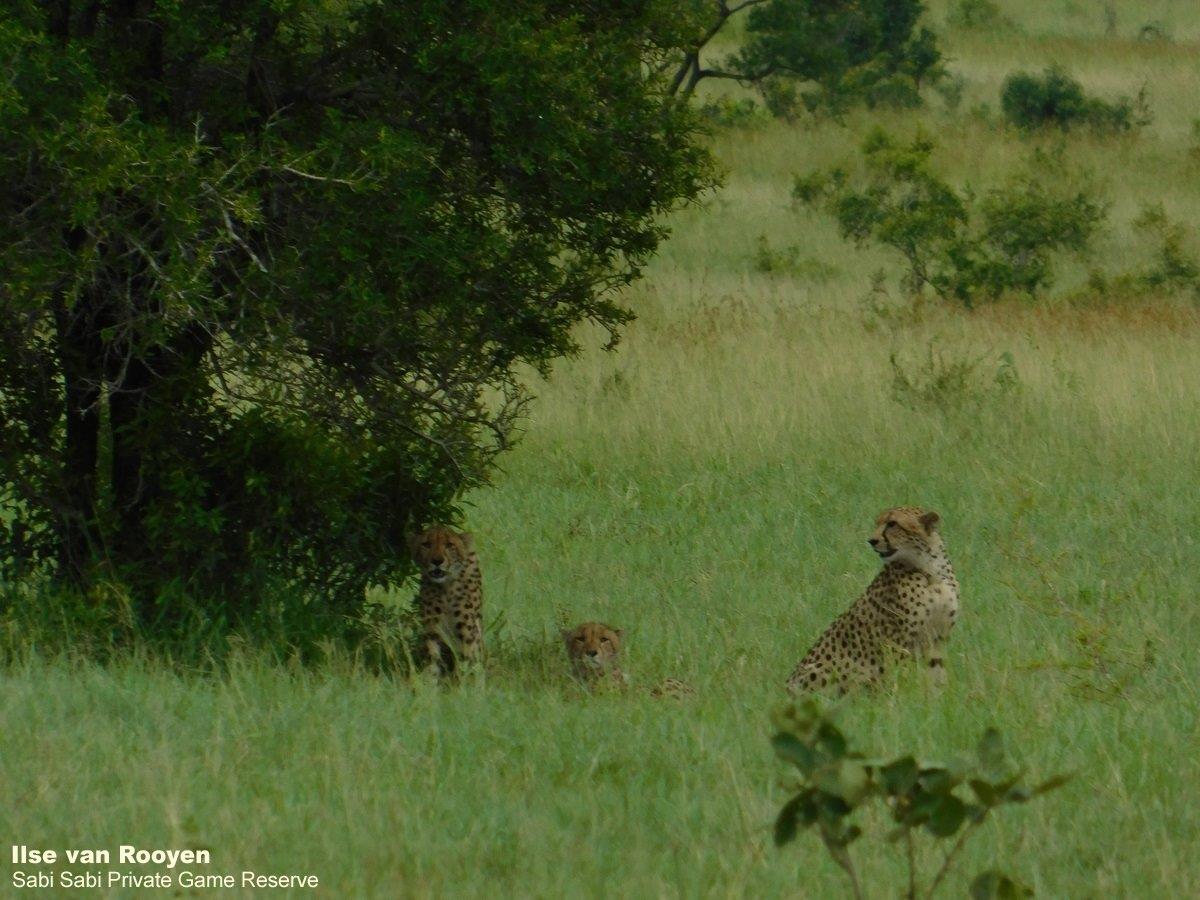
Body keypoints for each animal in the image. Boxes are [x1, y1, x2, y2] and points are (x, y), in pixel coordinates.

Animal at [410, 526, 483, 676]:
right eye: (426, 544)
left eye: (450, 545)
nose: (437, 561)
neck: (446, 586)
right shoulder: (433, 629)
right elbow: (432, 657)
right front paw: (429, 680)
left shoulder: (466, 631)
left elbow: (464, 660)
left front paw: (461, 681)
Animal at [786, 506, 959, 694]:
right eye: (877, 523)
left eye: (892, 524)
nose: (872, 541)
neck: (931, 570)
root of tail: (785, 688)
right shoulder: (897, 642)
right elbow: (899, 674)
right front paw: (902, 696)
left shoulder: (938, 638)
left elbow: (936, 671)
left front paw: (939, 696)